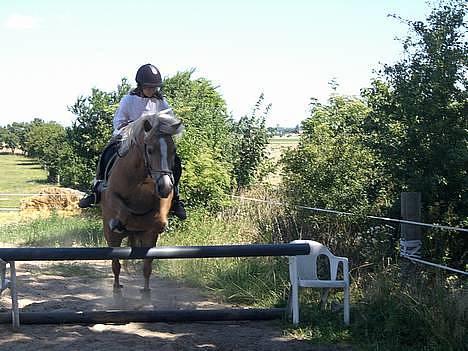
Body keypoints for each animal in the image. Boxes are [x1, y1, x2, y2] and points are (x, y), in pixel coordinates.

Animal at [100, 112, 183, 300]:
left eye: (173, 151)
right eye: (150, 150)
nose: (166, 186)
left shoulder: (162, 200)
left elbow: (159, 214)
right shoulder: (112, 195)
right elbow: (121, 210)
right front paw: (119, 222)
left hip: (148, 238)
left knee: (146, 264)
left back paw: (145, 291)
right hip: (111, 238)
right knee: (115, 264)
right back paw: (117, 290)